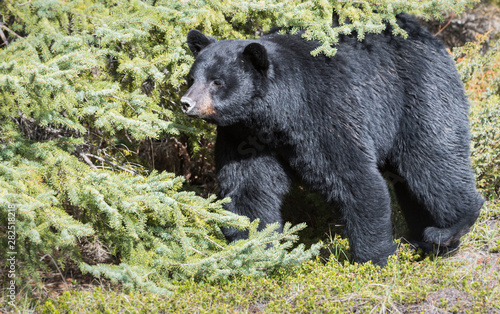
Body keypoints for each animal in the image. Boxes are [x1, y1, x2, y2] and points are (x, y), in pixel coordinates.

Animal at [182, 13, 482, 266]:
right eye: (191, 78)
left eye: (217, 82)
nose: (187, 103)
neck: (276, 116)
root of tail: (428, 34)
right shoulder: (243, 135)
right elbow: (247, 190)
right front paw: (255, 249)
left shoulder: (326, 114)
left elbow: (355, 179)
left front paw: (374, 259)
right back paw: (425, 240)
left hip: (417, 95)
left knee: (431, 159)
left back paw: (447, 230)